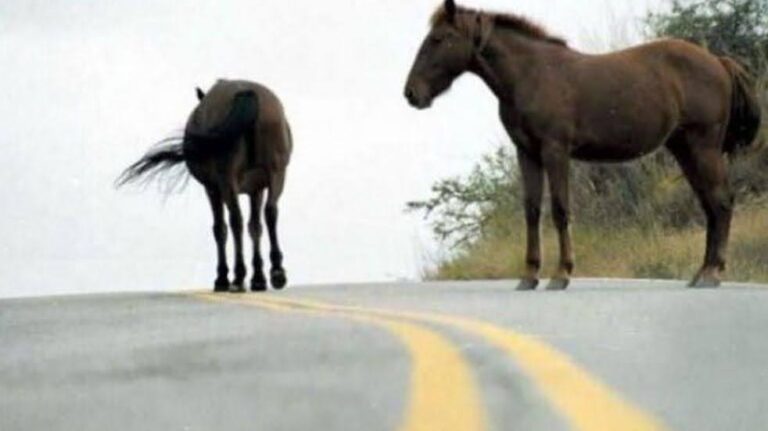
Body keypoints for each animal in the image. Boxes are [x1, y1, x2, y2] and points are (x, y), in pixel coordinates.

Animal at [117, 79, 292, 293]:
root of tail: (246, 93)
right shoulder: (256, 189)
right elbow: (255, 227)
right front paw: (258, 278)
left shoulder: (212, 188)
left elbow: (220, 229)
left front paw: (222, 278)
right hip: (277, 172)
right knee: (270, 211)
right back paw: (277, 271)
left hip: (227, 181)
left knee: (235, 220)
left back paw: (238, 277)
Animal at [404, 0, 761, 289]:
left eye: (438, 39)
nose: (411, 93)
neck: (532, 74)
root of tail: (718, 62)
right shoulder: (527, 153)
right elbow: (531, 211)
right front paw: (529, 276)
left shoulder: (555, 151)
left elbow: (560, 209)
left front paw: (561, 274)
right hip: (685, 149)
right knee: (710, 204)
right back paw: (701, 273)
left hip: (704, 147)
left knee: (721, 202)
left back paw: (712, 273)